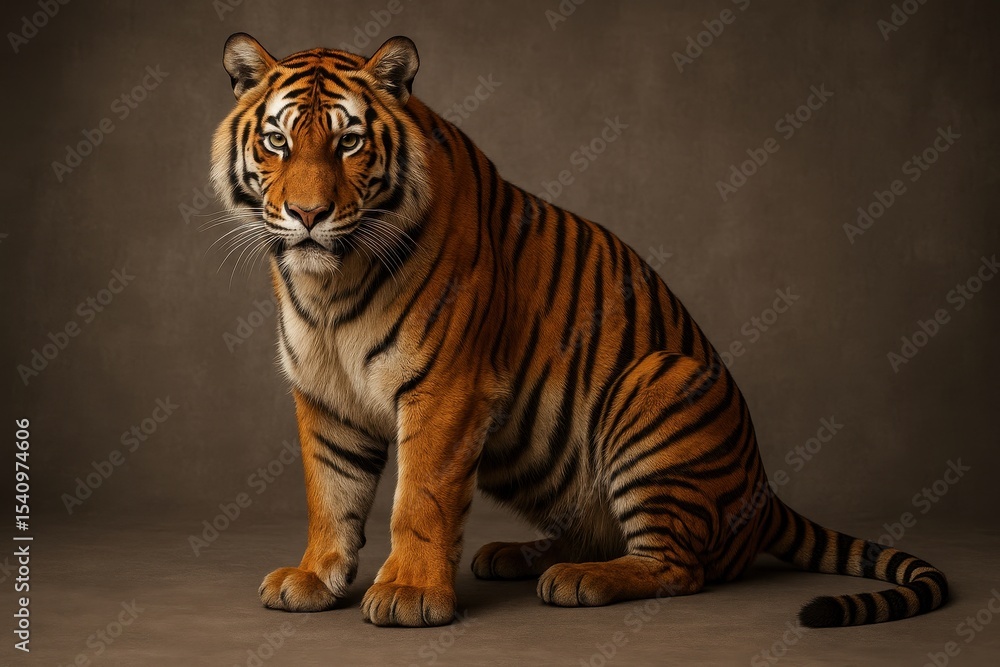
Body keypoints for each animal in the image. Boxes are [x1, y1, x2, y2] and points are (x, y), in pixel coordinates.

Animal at [210, 33, 948, 628]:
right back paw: (517, 555)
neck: (329, 286)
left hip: (657, 381)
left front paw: (410, 594)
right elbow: (330, 492)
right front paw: (314, 577)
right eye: (277, 141)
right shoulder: (324, 395)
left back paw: (577, 579)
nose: (308, 214)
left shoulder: (445, 387)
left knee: (679, 566)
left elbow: (417, 497)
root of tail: (765, 493)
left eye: (349, 142)